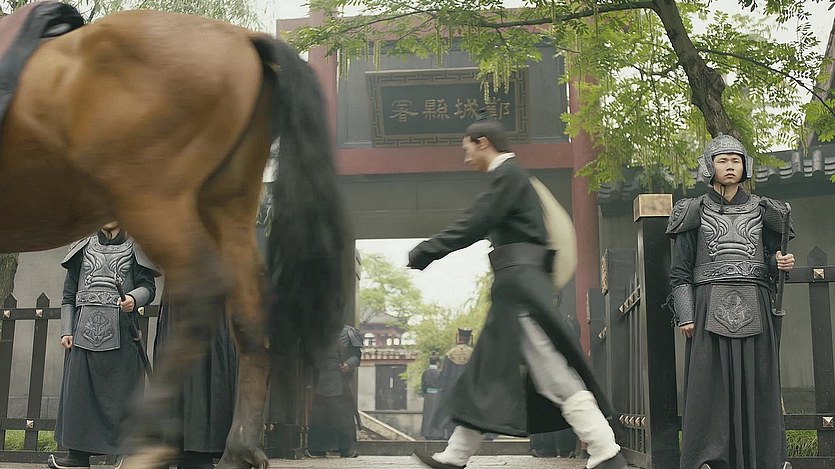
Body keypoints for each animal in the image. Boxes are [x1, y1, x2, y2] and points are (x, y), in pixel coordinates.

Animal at [0, 7, 346, 469]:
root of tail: (242, 38)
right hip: (228, 200)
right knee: (247, 311)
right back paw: (239, 447)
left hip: (151, 194)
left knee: (203, 286)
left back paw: (148, 438)